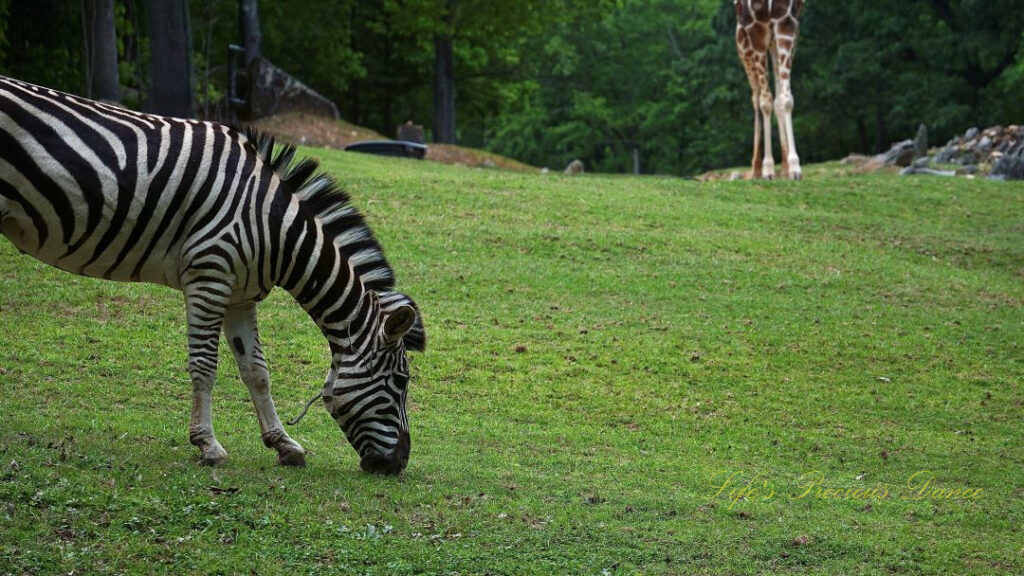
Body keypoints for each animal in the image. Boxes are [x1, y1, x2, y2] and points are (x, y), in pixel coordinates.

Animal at [0, 73, 423, 473]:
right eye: (401, 381)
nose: (399, 464)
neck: (274, 226)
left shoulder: (240, 294)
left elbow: (257, 370)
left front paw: (284, 445)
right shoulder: (210, 276)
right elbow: (204, 365)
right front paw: (208, 445)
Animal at [737, 0, 806, 179]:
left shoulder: (786, 20)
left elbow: (785, 99)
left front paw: (794, 167)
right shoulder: (755, 25)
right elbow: (765, 101)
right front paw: (768, 168)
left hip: (774, 40)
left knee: (775, 96)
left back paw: (784, 166)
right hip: (743, 41)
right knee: (756, 97)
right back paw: (756, 168)